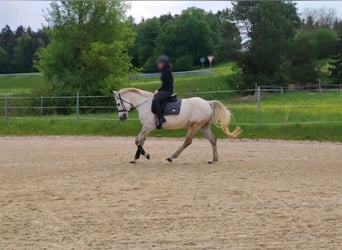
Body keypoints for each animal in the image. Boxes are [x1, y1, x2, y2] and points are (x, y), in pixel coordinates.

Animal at [111, 88, 240, 164]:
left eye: (118, 103)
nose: (122, 118)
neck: (145, 104)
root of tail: (207, 103)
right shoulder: (145, 128)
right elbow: (141, 141)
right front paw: (135, 158)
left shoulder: (147, 127)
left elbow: (137, 141)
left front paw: (146, 155)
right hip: (204, 127)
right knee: (213, 140)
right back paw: (214, 159)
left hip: (194, 126)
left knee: (188, 141)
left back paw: (171, 157)